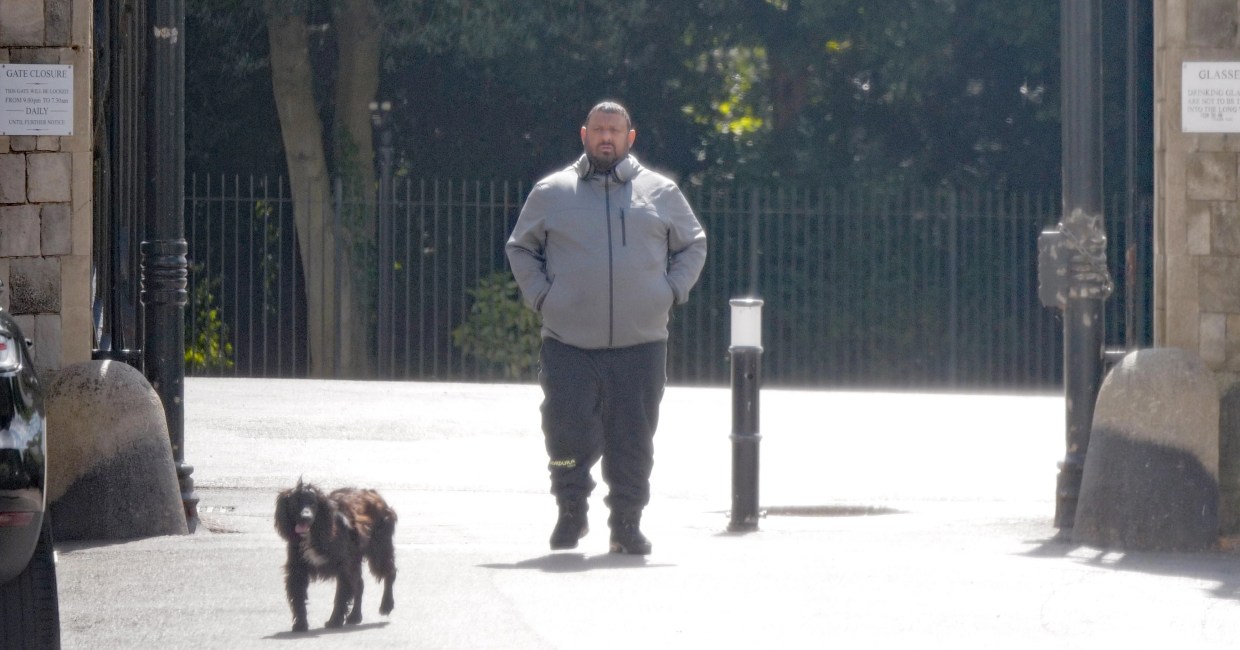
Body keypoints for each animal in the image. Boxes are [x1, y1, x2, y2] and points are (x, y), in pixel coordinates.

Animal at [275, 478, 396, 632]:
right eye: (295, 502)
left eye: (313, 503)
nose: (305, 517)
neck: (313, 533)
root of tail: (375, 494)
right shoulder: (298, 568)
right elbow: (298, 596)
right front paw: (300, 624)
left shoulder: (343, 566)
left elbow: (340, 596)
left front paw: (334, 620)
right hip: (356, 558)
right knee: (360, 584)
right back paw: (355, 616)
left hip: (379, 549)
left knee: (390, 573)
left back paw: (387, 605)